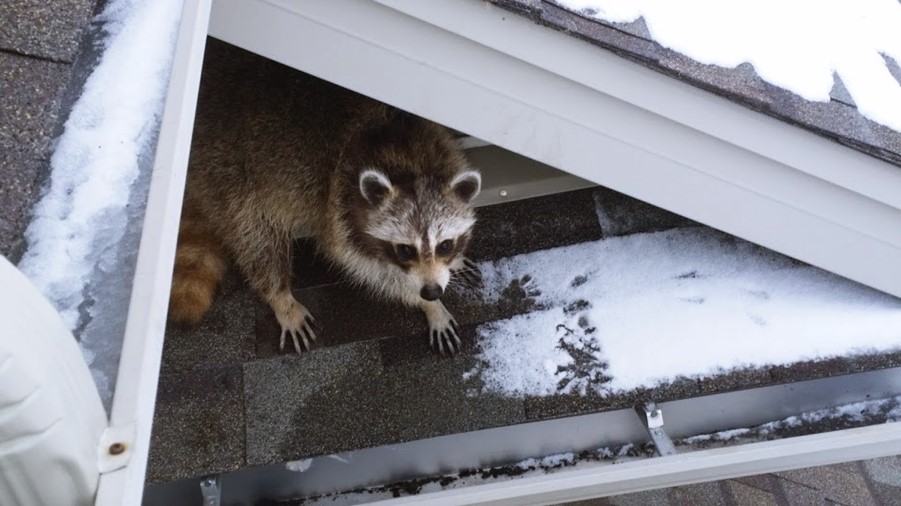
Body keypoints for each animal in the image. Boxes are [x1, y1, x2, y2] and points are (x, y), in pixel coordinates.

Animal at [168, 41, 481, 354]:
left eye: (445, 245)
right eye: (405, 250)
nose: (431, 291)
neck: (407, 158)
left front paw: (452, 267)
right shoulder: (340, 204)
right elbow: (371, 271)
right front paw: (428, 305)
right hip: (226, 171)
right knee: (255, 235)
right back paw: (279, 293)